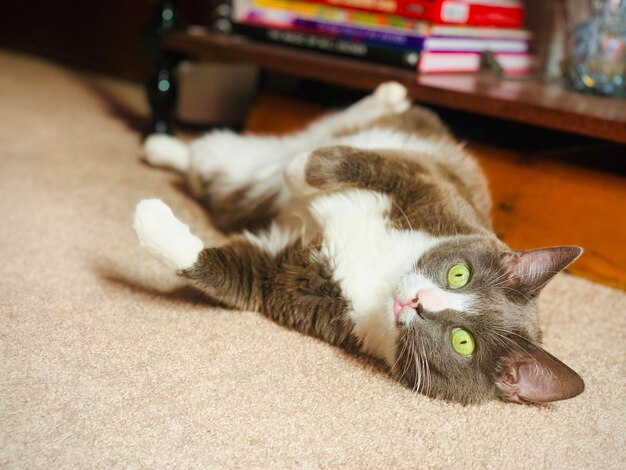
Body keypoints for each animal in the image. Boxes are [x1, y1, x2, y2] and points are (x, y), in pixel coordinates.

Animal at [133, 81, 584, 404]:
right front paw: (298, 173)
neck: (384, 272)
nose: (417, 301)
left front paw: (150, 218)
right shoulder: (427, 180)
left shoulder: (302, 286)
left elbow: (237, 276)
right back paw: (388, 95)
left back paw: (159, 148)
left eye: (463, 341)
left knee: (211, 171)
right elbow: (344, 162)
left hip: (240, 190)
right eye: (460, 274)